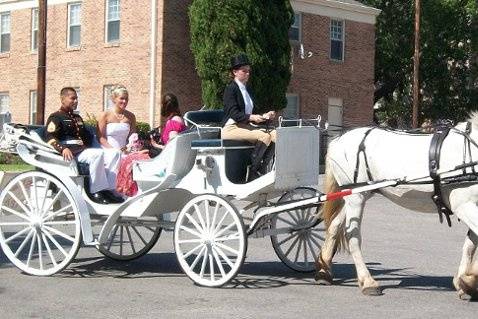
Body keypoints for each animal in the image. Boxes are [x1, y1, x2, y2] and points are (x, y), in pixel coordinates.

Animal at [316, 115, 478, 300]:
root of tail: (337, 140)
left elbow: (470, 245)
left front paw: (464, 282)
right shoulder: (463, 205)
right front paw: (469, 281)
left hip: (354, 195)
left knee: (335, 225)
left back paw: (324, 271)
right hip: (356, 196)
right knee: (352, 235)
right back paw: (367, 281)